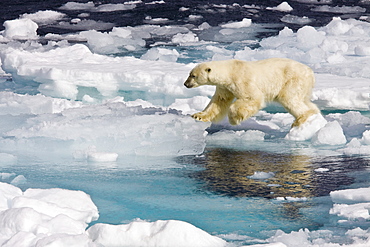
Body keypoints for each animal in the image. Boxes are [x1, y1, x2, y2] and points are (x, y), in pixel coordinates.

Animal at [184, 58, 320, 126]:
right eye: (189, 74)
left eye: (193, 76)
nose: (185, 84)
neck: (230, 71)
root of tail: (310, 72)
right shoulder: (224, 87)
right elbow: (219, 101)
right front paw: (198, 115)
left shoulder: (241, 80)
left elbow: (252, 97)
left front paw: (234, 119)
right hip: (304, 85)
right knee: (303, 100)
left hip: (293, 79)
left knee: (288, 97)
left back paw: (300, 119)